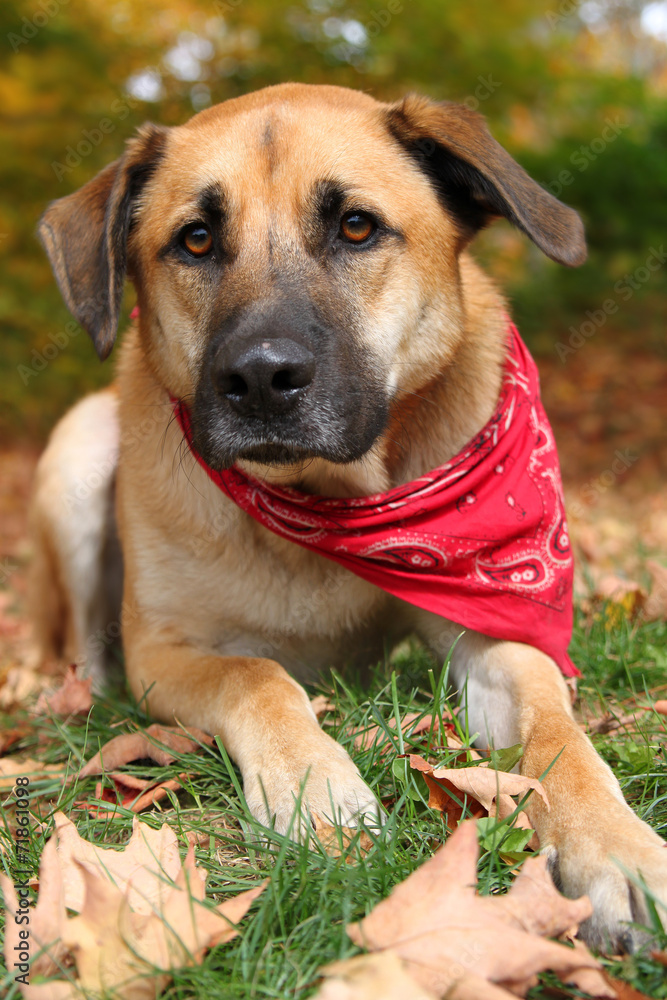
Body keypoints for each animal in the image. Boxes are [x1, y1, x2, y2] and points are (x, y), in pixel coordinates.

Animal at [28, 84, 664, 944]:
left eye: (356, 226)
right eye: (195, 239)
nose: (260, 378)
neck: (325, 497)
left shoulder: (494, 624)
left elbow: (554, 730)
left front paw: (615, 845)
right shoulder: (161, 653)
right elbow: (256, 675)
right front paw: (313, 783)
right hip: (79, 449)